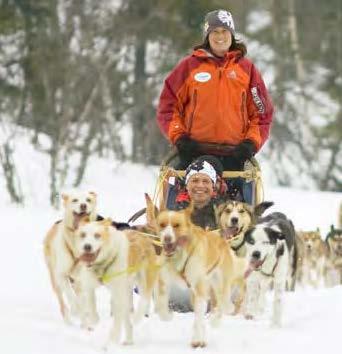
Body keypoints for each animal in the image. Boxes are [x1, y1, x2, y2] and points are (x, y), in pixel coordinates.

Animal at [43, 191, 97, 324]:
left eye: (88, 200)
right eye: (75, 200)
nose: (83, 205)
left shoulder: (82, 279)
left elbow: (83, 299)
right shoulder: (61, 275)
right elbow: (70, 295)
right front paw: (75, 309)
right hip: (55, 279)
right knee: (63, 301)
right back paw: (69, 320)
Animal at [71, 220, 160, 348]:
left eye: (97, 235)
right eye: (83, 235)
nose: (87, 246)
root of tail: (144, 237)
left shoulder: (118, 293)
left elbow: (117, 321)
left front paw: (112, 340)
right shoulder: (89, 286)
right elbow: (91, 305)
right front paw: (94, 321)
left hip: (143, 281)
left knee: (144, 300)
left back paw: (137, 318)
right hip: (126, 291)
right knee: (127, 316)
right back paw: (129, 340)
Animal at [152, 205, 240, 348]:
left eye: (177, 225)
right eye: (162, 225)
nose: (167, 238)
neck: (180, 255)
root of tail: (222, 239)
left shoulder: (200, 289)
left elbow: (199, 318)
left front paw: (198, 339)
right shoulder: (163, 282)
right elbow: (161, 306)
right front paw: (168, 315)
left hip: (220, 285)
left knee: (223, 304)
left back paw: (214, 322)